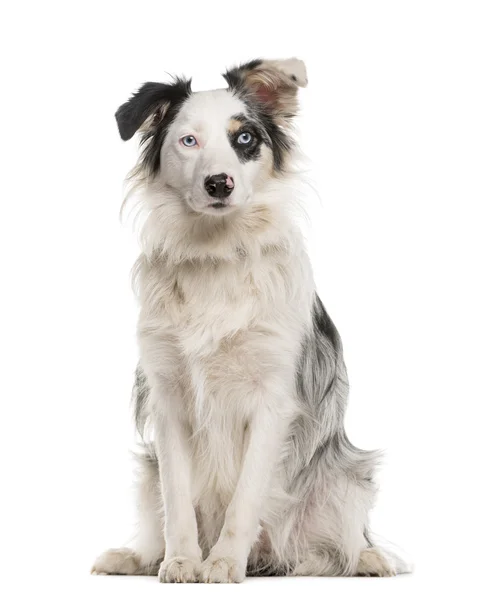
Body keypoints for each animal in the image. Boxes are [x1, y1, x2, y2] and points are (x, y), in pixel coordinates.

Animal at [91, 56, 408, 580]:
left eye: (244, 138)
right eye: (188, 140)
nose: (219, 183)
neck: (217, 252)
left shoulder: (272, 401)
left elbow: (244, 502)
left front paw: (221, 562)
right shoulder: (169, 398)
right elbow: (177, 500)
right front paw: (182, 561)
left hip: (345, 477)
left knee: (341, 538)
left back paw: (369, 558)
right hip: (146, 476)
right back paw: (133, 557)